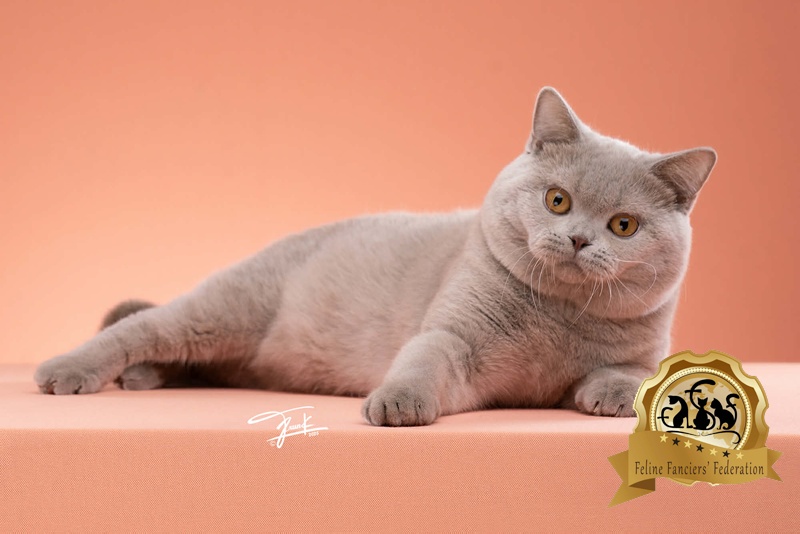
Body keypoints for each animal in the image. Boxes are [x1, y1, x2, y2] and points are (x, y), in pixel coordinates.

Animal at [34, 87, 716, 426]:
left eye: (623, 225)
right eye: (557, 200)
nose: (577, 239)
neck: (557, 319)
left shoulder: (644, 349)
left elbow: (635, 375)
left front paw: (609, 395)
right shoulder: (453, 337)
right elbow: (423, 361)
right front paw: (397, 404)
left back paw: (144, 378)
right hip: (225, 310)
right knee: (139, 328)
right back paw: (71, 371)